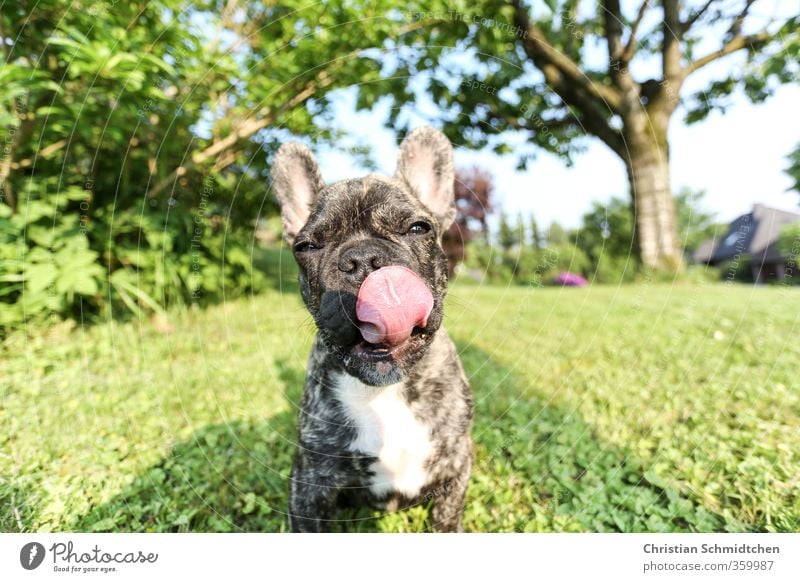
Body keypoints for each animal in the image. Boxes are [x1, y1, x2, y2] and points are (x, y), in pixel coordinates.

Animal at [272, 126, 472, 532]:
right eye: (306, 246)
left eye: (419, 228)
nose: (362, 258)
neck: (384, 390)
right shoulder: (309, 486)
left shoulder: (455, 469)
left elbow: (447, 519)